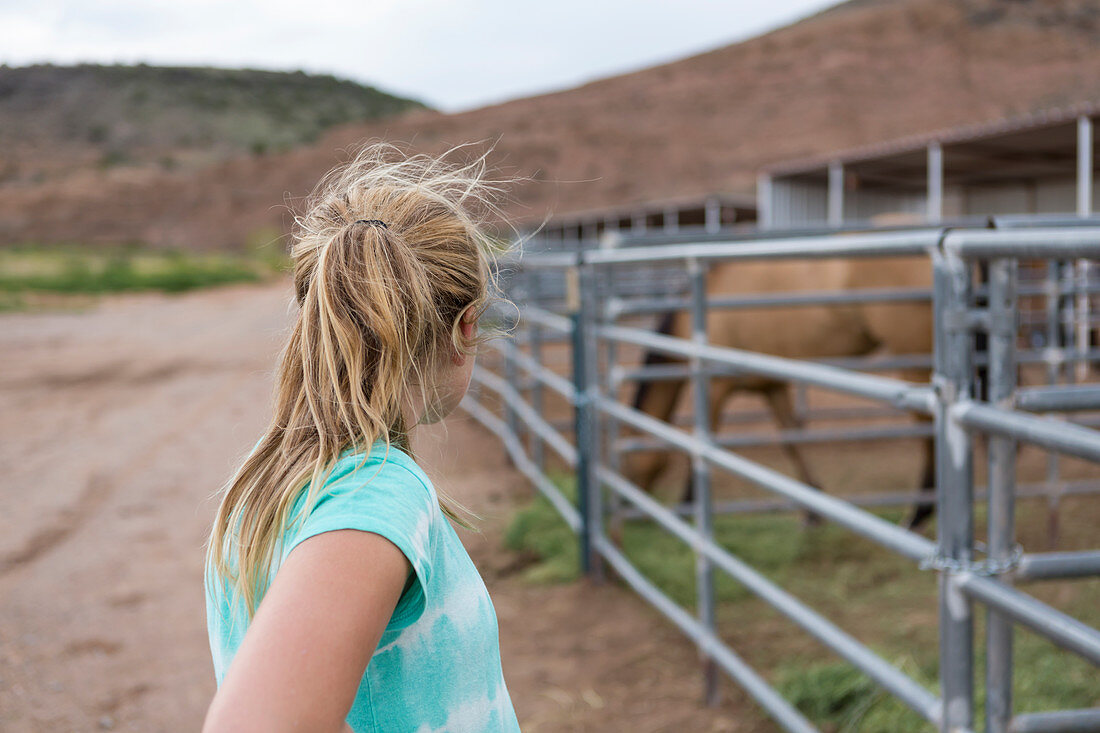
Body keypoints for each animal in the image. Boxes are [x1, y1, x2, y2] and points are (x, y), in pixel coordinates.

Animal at [620, 254, 937, 528]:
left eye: (627, 460)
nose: (625, 508)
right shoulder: (772, 385)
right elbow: (790, 440)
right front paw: (812, 508)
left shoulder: (715, 386)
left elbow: (701, 442)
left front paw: (687, 507)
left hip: (915, 360)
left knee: (928, 432)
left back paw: (918, 514)